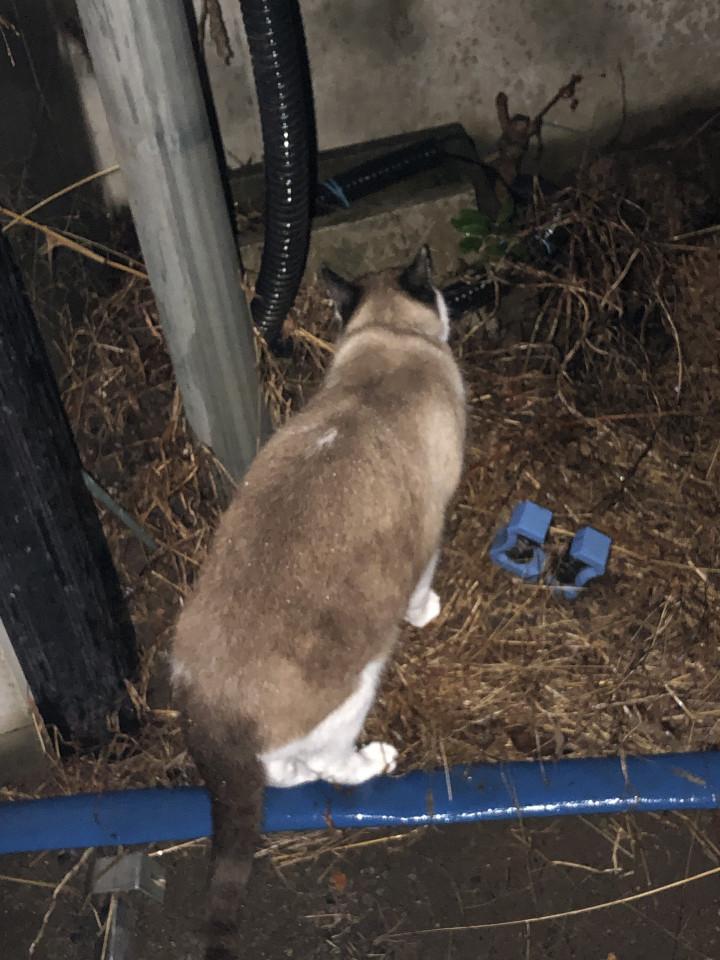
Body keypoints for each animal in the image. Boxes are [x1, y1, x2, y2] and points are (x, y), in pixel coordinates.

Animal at [171, 246, 466, 959]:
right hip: (358, 685)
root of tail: (209, 699)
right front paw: (426, 612)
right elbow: (423, 586)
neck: (388, 338)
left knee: (277, 775)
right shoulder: (434, 529)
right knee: (327, 763)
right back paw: (375, 759)